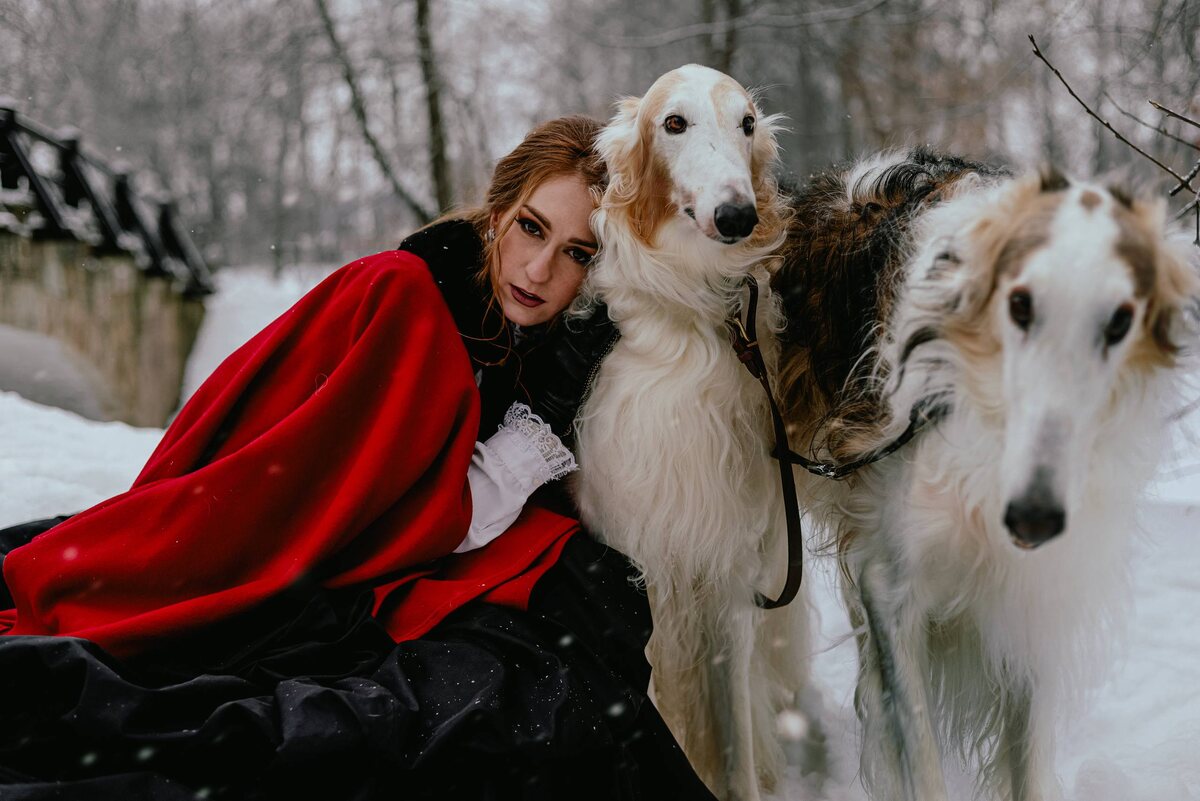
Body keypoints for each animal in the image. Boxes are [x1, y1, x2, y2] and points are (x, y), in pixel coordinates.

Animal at [572, 64, 817, 800]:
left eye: (747, 123)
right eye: (673, 123)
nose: (737, 216)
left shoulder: (731, 571)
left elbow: (734, 723)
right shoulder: (639, 566)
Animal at [773, 148, 1199, 801]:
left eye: (1119, 322)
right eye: (1019, 305)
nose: (1033, 518)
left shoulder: (1032, 590)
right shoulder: (891, 581)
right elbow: (917, 747)